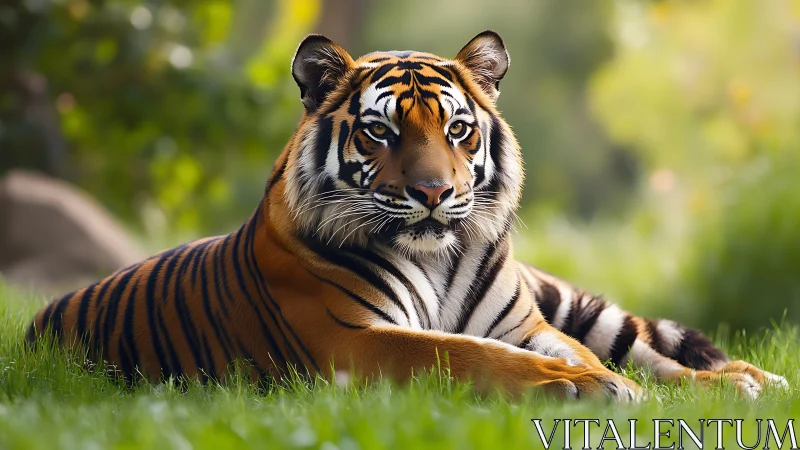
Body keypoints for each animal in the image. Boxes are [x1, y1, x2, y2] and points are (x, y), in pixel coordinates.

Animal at [27, 31, 787, 401]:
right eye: (380, 132)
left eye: (456, 130)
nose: (432, 192)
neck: (441, 255)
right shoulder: (354, 338)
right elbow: (467, 353)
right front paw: (585, 388)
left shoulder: (528, 325)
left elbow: (583, 352)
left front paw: (603, 380)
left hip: (573, 303)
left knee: (650, 349)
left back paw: (745, 381)